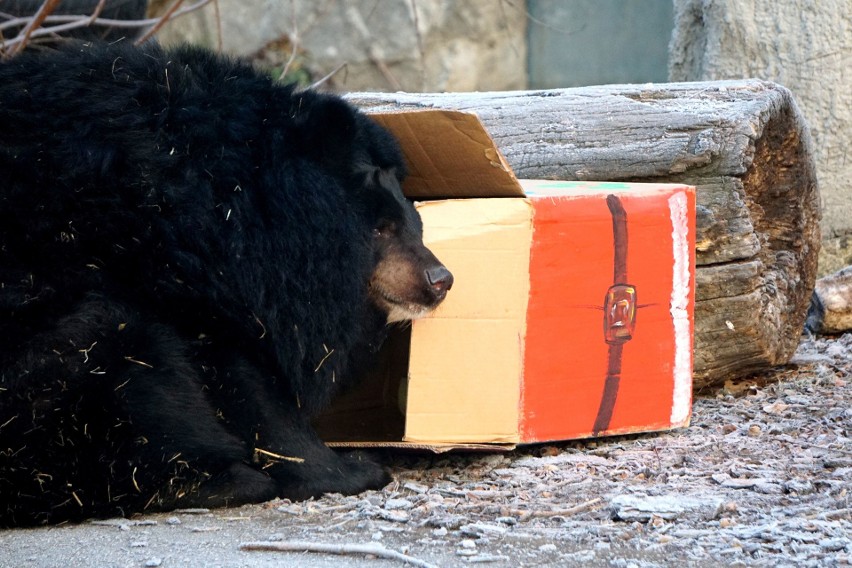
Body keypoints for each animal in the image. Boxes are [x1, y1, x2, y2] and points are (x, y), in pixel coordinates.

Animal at [0, 41, 452, 528]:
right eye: (380, 229)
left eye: (412, 221)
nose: (441, 280)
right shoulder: (174, 269)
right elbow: (242, 377)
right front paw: (350, 468)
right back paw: (226, 479)